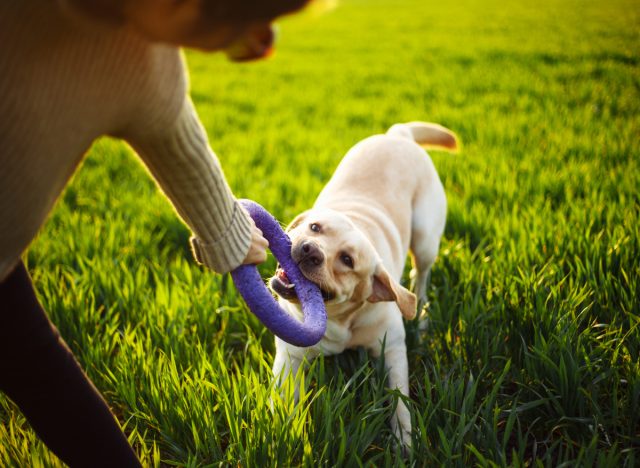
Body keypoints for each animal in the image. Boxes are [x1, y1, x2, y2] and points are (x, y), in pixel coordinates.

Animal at [268, 121, 458, 446]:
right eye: (314, 227)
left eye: (347, 260)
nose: (309, 250)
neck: (338, 321)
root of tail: (398, 135)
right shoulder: (290, 357)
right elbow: (283, 402)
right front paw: (282, 437)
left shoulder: (392, 350)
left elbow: (400, 402)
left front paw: (404, 441)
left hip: (425, 239)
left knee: (420, 278)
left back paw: (421, 316)